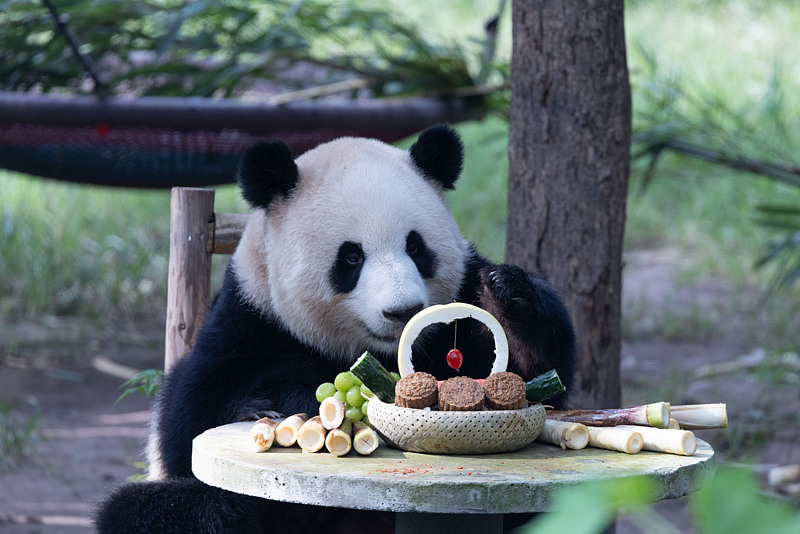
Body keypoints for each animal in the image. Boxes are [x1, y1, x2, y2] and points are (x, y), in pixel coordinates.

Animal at [95, 125, 576, 534]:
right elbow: (188, 415)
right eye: (351, 257)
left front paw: (508, 294)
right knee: (162, 511)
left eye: (416, 247)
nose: (403, 311)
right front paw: (286, 405)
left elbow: (542, 373)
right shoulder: (249, 317)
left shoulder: (455, 311)